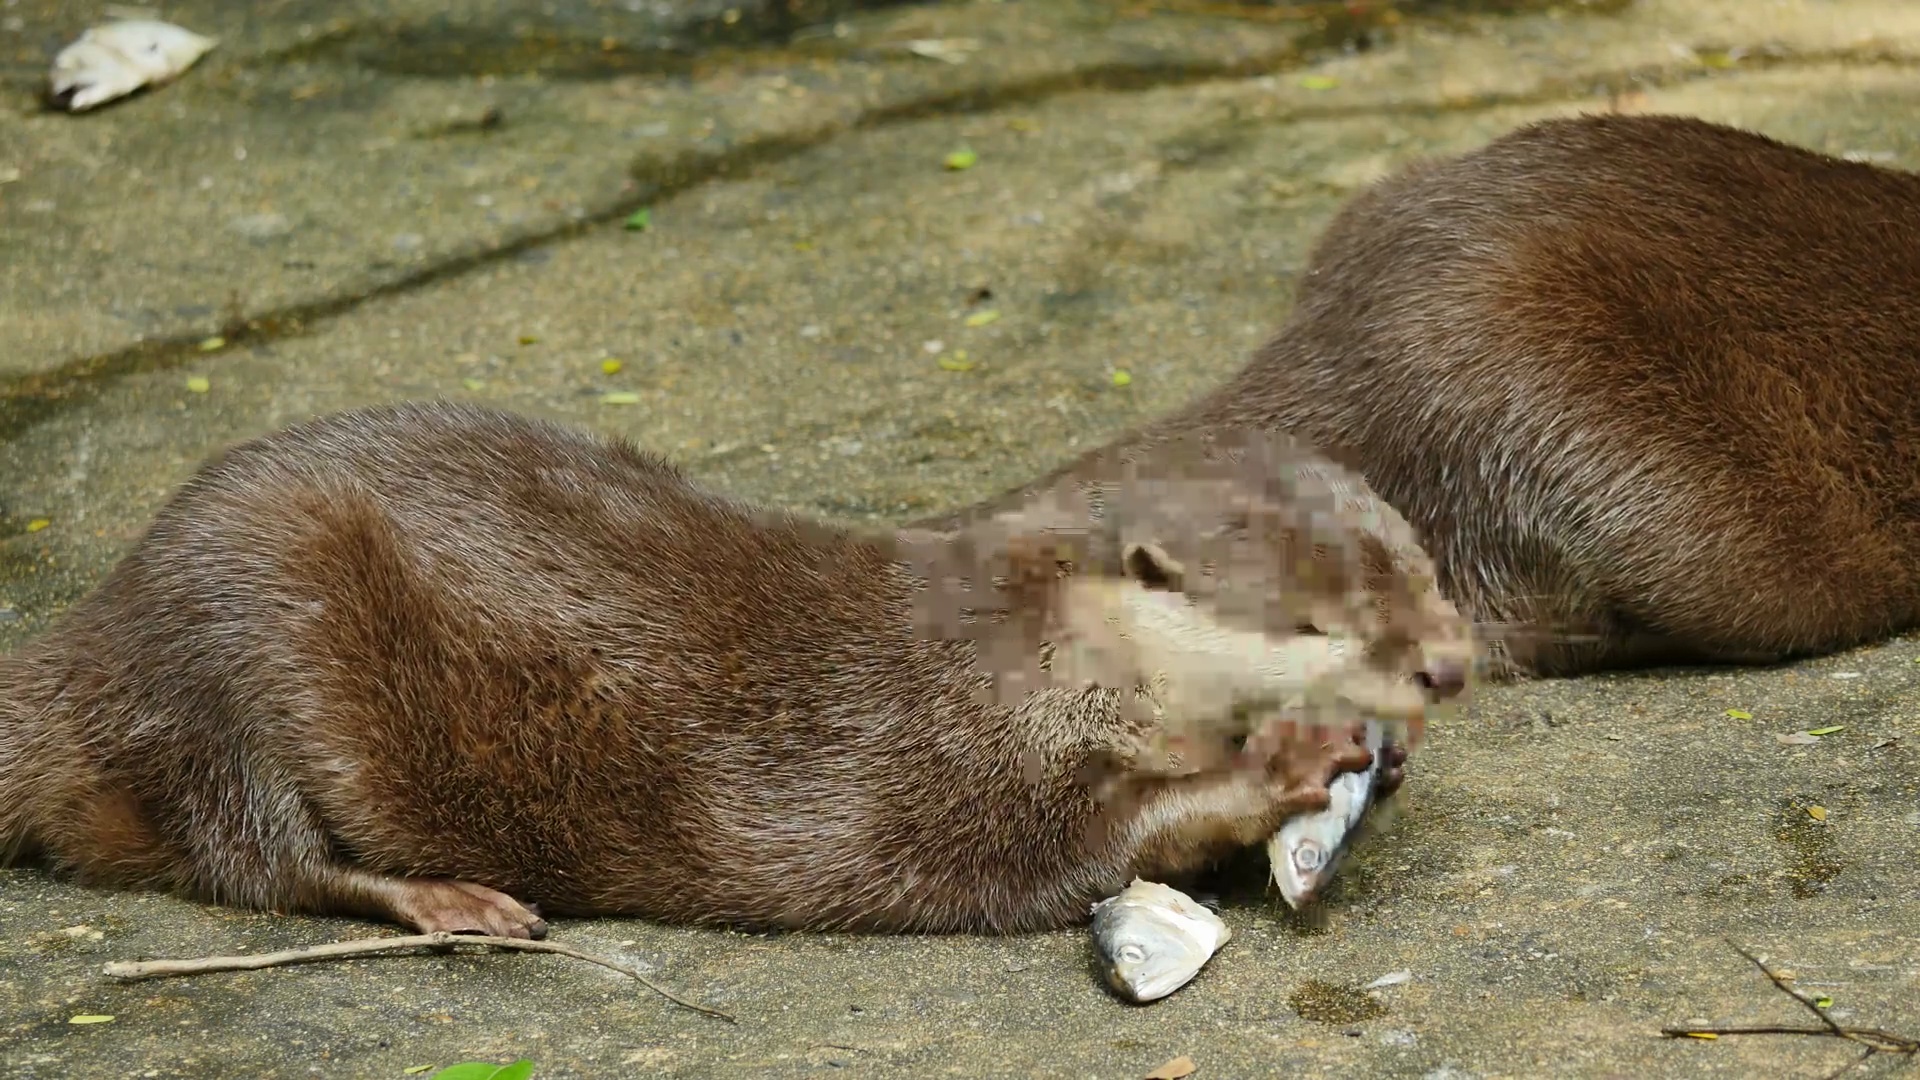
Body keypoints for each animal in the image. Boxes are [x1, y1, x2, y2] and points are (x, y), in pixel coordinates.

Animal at [0, 399, 1466, 937]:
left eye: (1424, 568)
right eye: (1321, 622)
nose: (1448, 669)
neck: (1026, 659)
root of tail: (89, 631)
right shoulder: (947, 774)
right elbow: (1074, 857)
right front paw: (1288, 760)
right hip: (240, 644)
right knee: (256, 857)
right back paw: (455, 901)